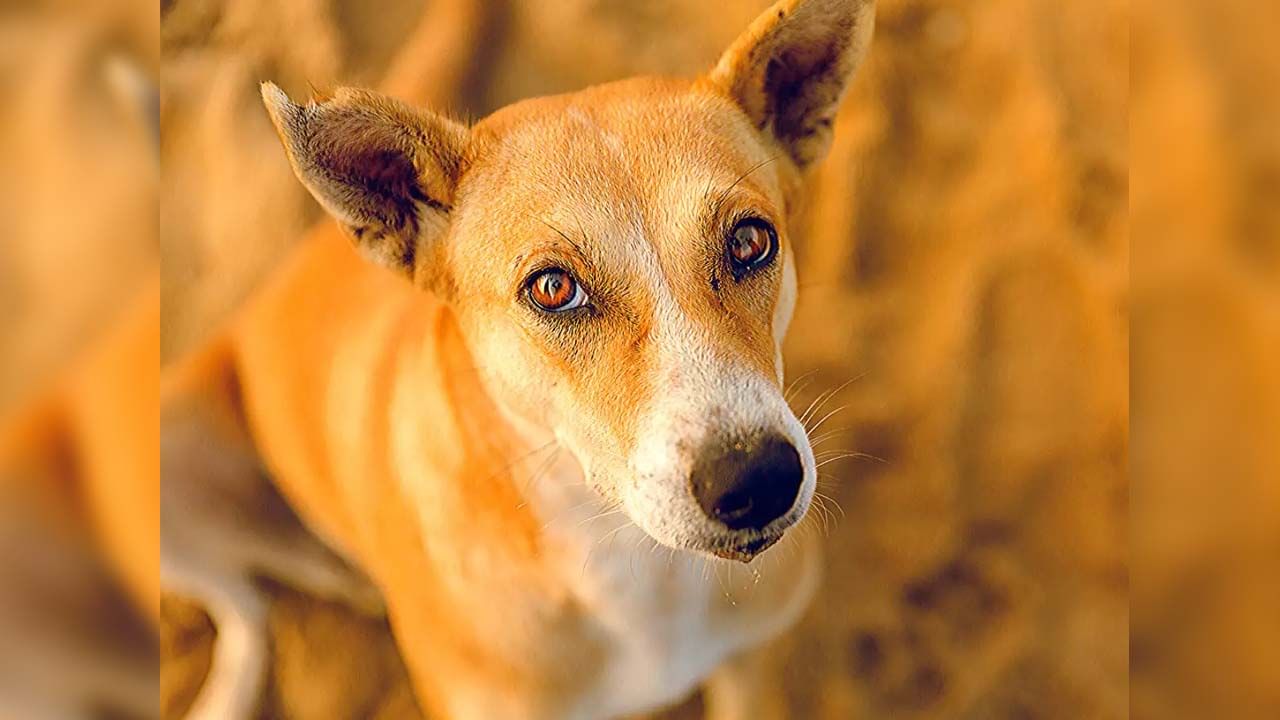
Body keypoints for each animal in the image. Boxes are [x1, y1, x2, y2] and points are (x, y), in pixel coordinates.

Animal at [162, 1, 870, 712]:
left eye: (751, 241)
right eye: (553, 287)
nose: (757, 479)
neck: (628, 564)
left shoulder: (750, 667)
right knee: (245, 611)